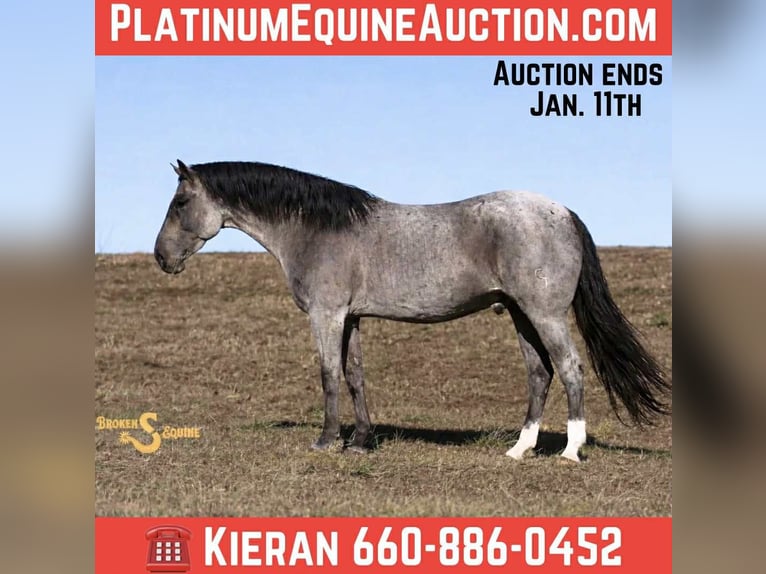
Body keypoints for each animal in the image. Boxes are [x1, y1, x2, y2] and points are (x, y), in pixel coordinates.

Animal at [154, 160, 670, 462]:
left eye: (180, 201)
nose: (161, 258)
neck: (319, 229)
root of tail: (562, 212)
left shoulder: (327, 315)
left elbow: (328, 374)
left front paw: (326, 440)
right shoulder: (352, 317)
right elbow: (355, 376)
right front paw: (361, 441)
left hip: (545, 315)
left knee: (569, 368)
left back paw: (570, 450)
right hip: (521, 315)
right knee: (539, 374)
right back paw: (519, 448)